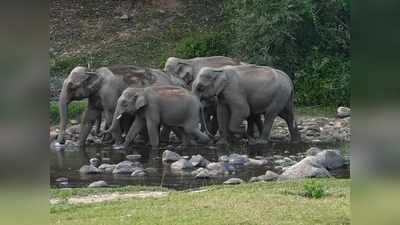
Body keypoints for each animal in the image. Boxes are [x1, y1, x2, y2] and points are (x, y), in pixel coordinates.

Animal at [56, 64, 184, 148]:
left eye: (72, 86)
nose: (61, 143)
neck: (94, 71)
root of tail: (170, 79)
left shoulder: (109, 92)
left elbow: (110, 116)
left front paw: (117, 145)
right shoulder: (94, 96)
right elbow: (89, 117)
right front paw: (78, 146)